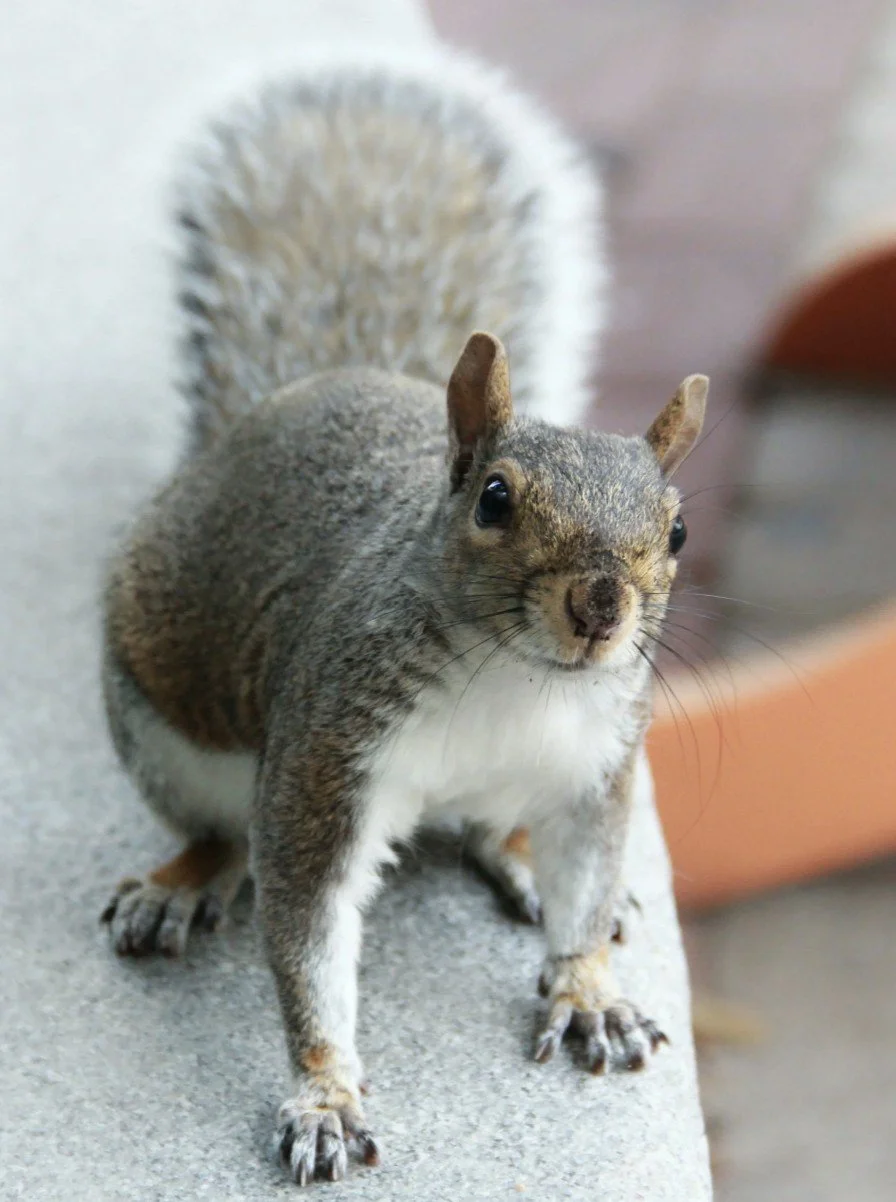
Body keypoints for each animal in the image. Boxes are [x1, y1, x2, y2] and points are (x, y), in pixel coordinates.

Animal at [99, 47, 707, 1186]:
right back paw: (184, 878)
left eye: (678, 530)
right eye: (495, 500)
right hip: (166, 731)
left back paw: (524, 861)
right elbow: (307, 928)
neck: (512, 677)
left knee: (492, 829)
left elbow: (585, 874)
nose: (599, 608)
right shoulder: (324, 760)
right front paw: (325, 1094)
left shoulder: (595, 769)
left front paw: (587, 988)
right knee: (219, 830)